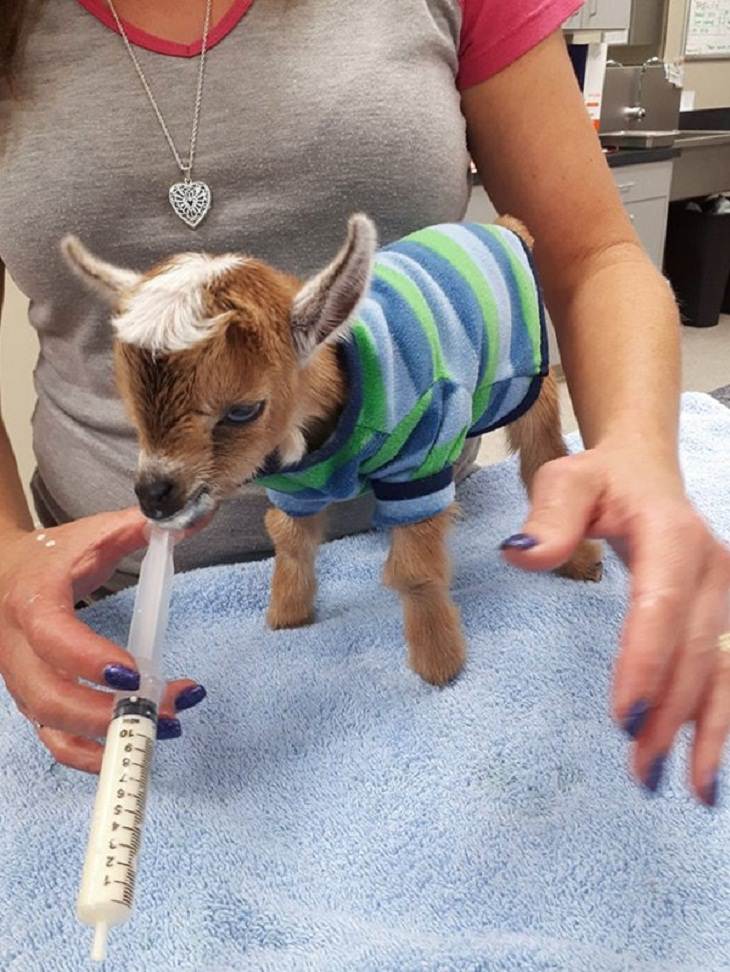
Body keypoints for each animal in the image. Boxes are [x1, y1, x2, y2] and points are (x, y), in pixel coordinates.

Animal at [61, 215, 596, 684]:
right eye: (130, 407)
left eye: (242, 411)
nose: (155, 495)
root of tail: (501, 226)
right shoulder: (296, 486)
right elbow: (289, 539)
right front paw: (287, 618)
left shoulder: (421, 457)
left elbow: (416, 568)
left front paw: (439, 665)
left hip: (523, 378)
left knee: (542, 453)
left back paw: (575, 558)